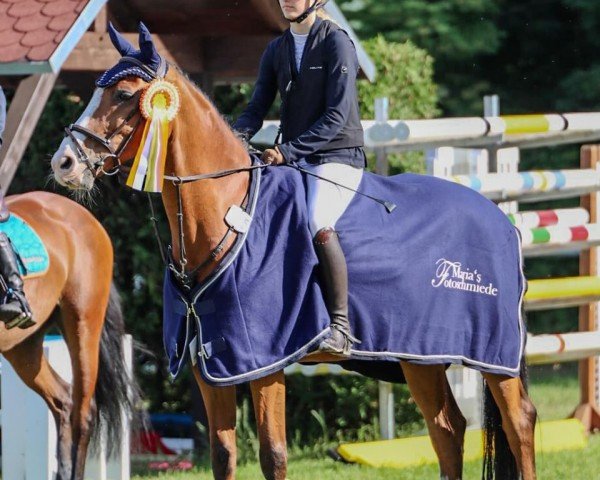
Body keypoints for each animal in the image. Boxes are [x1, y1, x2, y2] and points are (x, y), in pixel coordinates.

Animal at [51, 25, 536, 480]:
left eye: (124, 95)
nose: (64, 163)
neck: (228, 210)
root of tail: (503, 220)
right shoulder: (208, 363)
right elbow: (224, 455)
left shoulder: (262, 360)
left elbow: (273, 455)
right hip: (421, 355)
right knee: (447, 428)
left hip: (493, 355)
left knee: (519, 423)